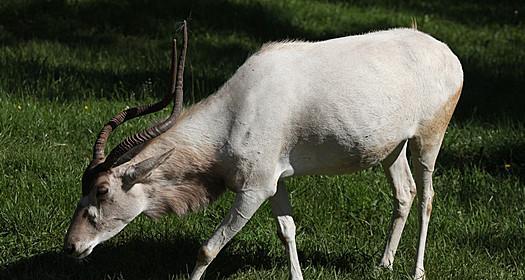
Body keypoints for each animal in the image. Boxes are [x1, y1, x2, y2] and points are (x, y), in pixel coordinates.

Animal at [63, 21, 460, 280]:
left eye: (102, 190)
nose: (71, 246)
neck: (237, 110)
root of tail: (444, 51)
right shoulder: (275, 181)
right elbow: (287, 230)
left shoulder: (253, 190)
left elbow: (208, 248)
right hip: (393, 148)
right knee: (405, 192)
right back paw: (384, 264)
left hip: (429, 139)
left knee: (426, 196)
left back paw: (417, 272)